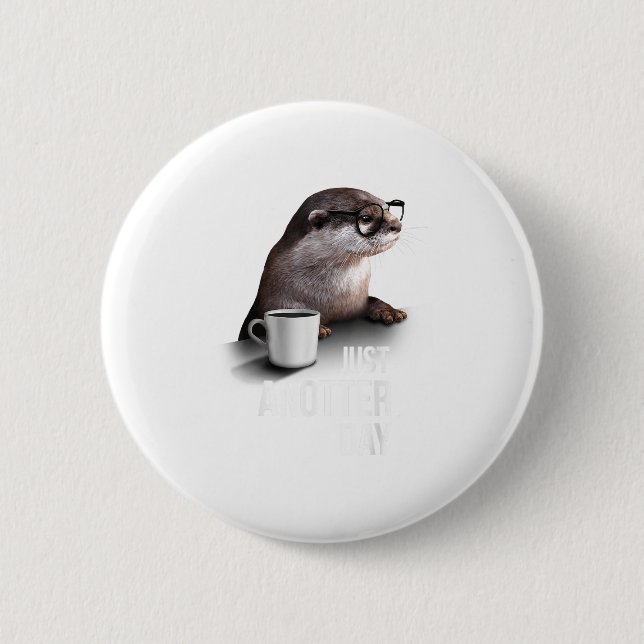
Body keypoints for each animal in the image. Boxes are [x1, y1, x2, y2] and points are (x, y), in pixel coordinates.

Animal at [239, 187, 407, 340]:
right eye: (366, 218)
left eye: (387, 209)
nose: (397, 225)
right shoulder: (273, 297)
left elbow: (373, 300)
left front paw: (389, 311)